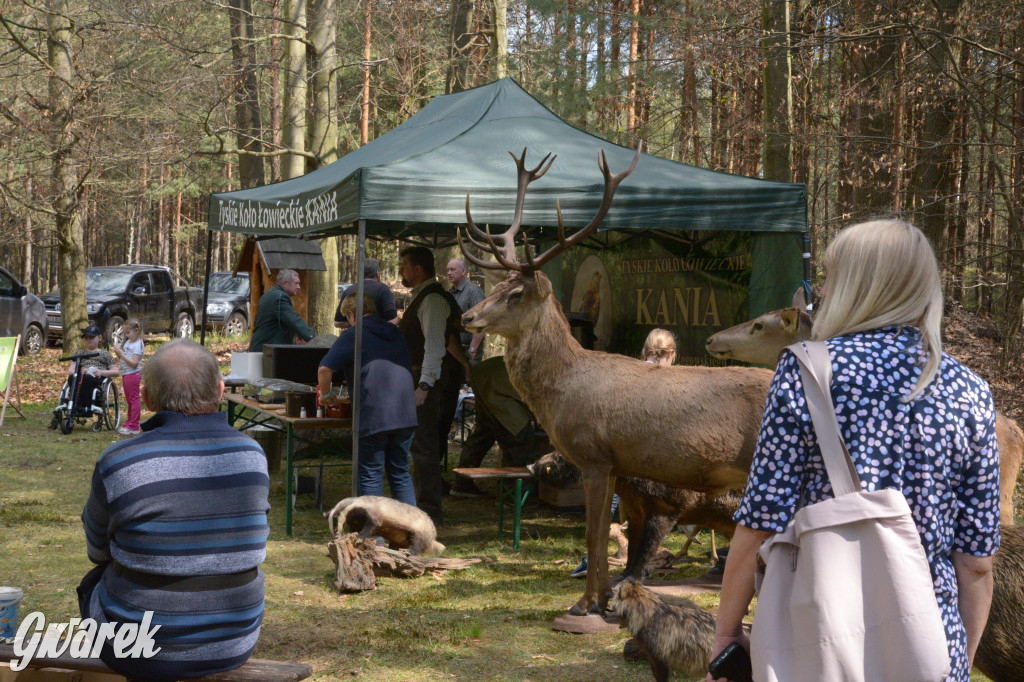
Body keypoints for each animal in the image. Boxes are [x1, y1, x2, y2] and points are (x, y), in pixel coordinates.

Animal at [460, 146, 770, 614]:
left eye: (515, 294)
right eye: (498, 286)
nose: (466, 316)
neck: (563, 391)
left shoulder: (594, 455)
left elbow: (593, 534)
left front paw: (584, 604)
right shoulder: (616, 466)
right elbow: (606, 536)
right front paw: (604, 599)